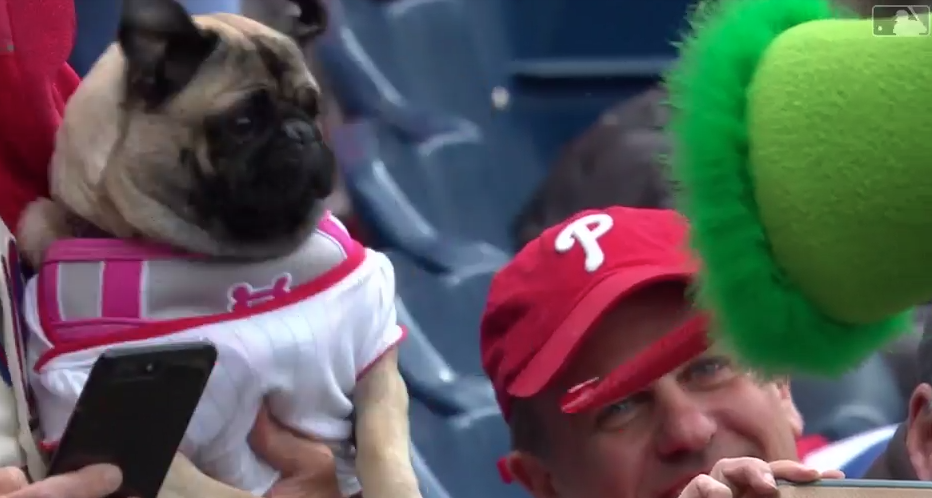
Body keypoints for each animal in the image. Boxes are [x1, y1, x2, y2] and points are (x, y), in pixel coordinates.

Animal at [15, 0, 418, 498]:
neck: (237, 259)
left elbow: (385, 453)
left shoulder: (375, 365)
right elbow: (221, 492)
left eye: (313, 108)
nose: (302, 132)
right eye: (242, 123)